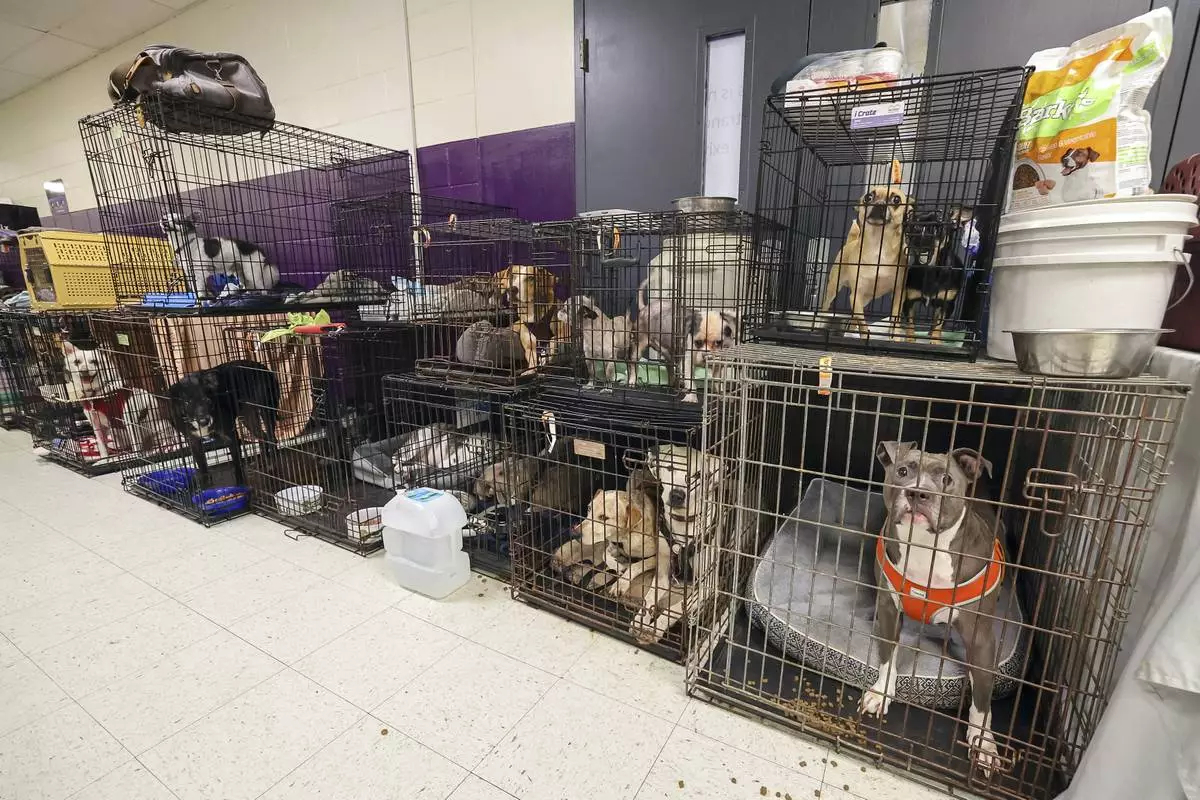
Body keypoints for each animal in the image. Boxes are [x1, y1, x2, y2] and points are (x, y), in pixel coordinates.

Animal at [868, 441, 1008, 777]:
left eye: (945, 479)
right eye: (902, 471)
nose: (918, 493)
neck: (923, 547)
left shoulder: (980, 639)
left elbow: (982, 697)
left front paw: (984, 744)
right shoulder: (889, 609)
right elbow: (887, 655)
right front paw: (881, 692)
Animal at [902, 206, 974, 340]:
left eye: (939, 224)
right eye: (913, 224)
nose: (919, 229)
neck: (930, 269)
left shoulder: (947, 305)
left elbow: (939, 324)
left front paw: (935, 340)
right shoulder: (908, 301)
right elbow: (910, 323)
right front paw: (910, 339)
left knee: (936, 319)